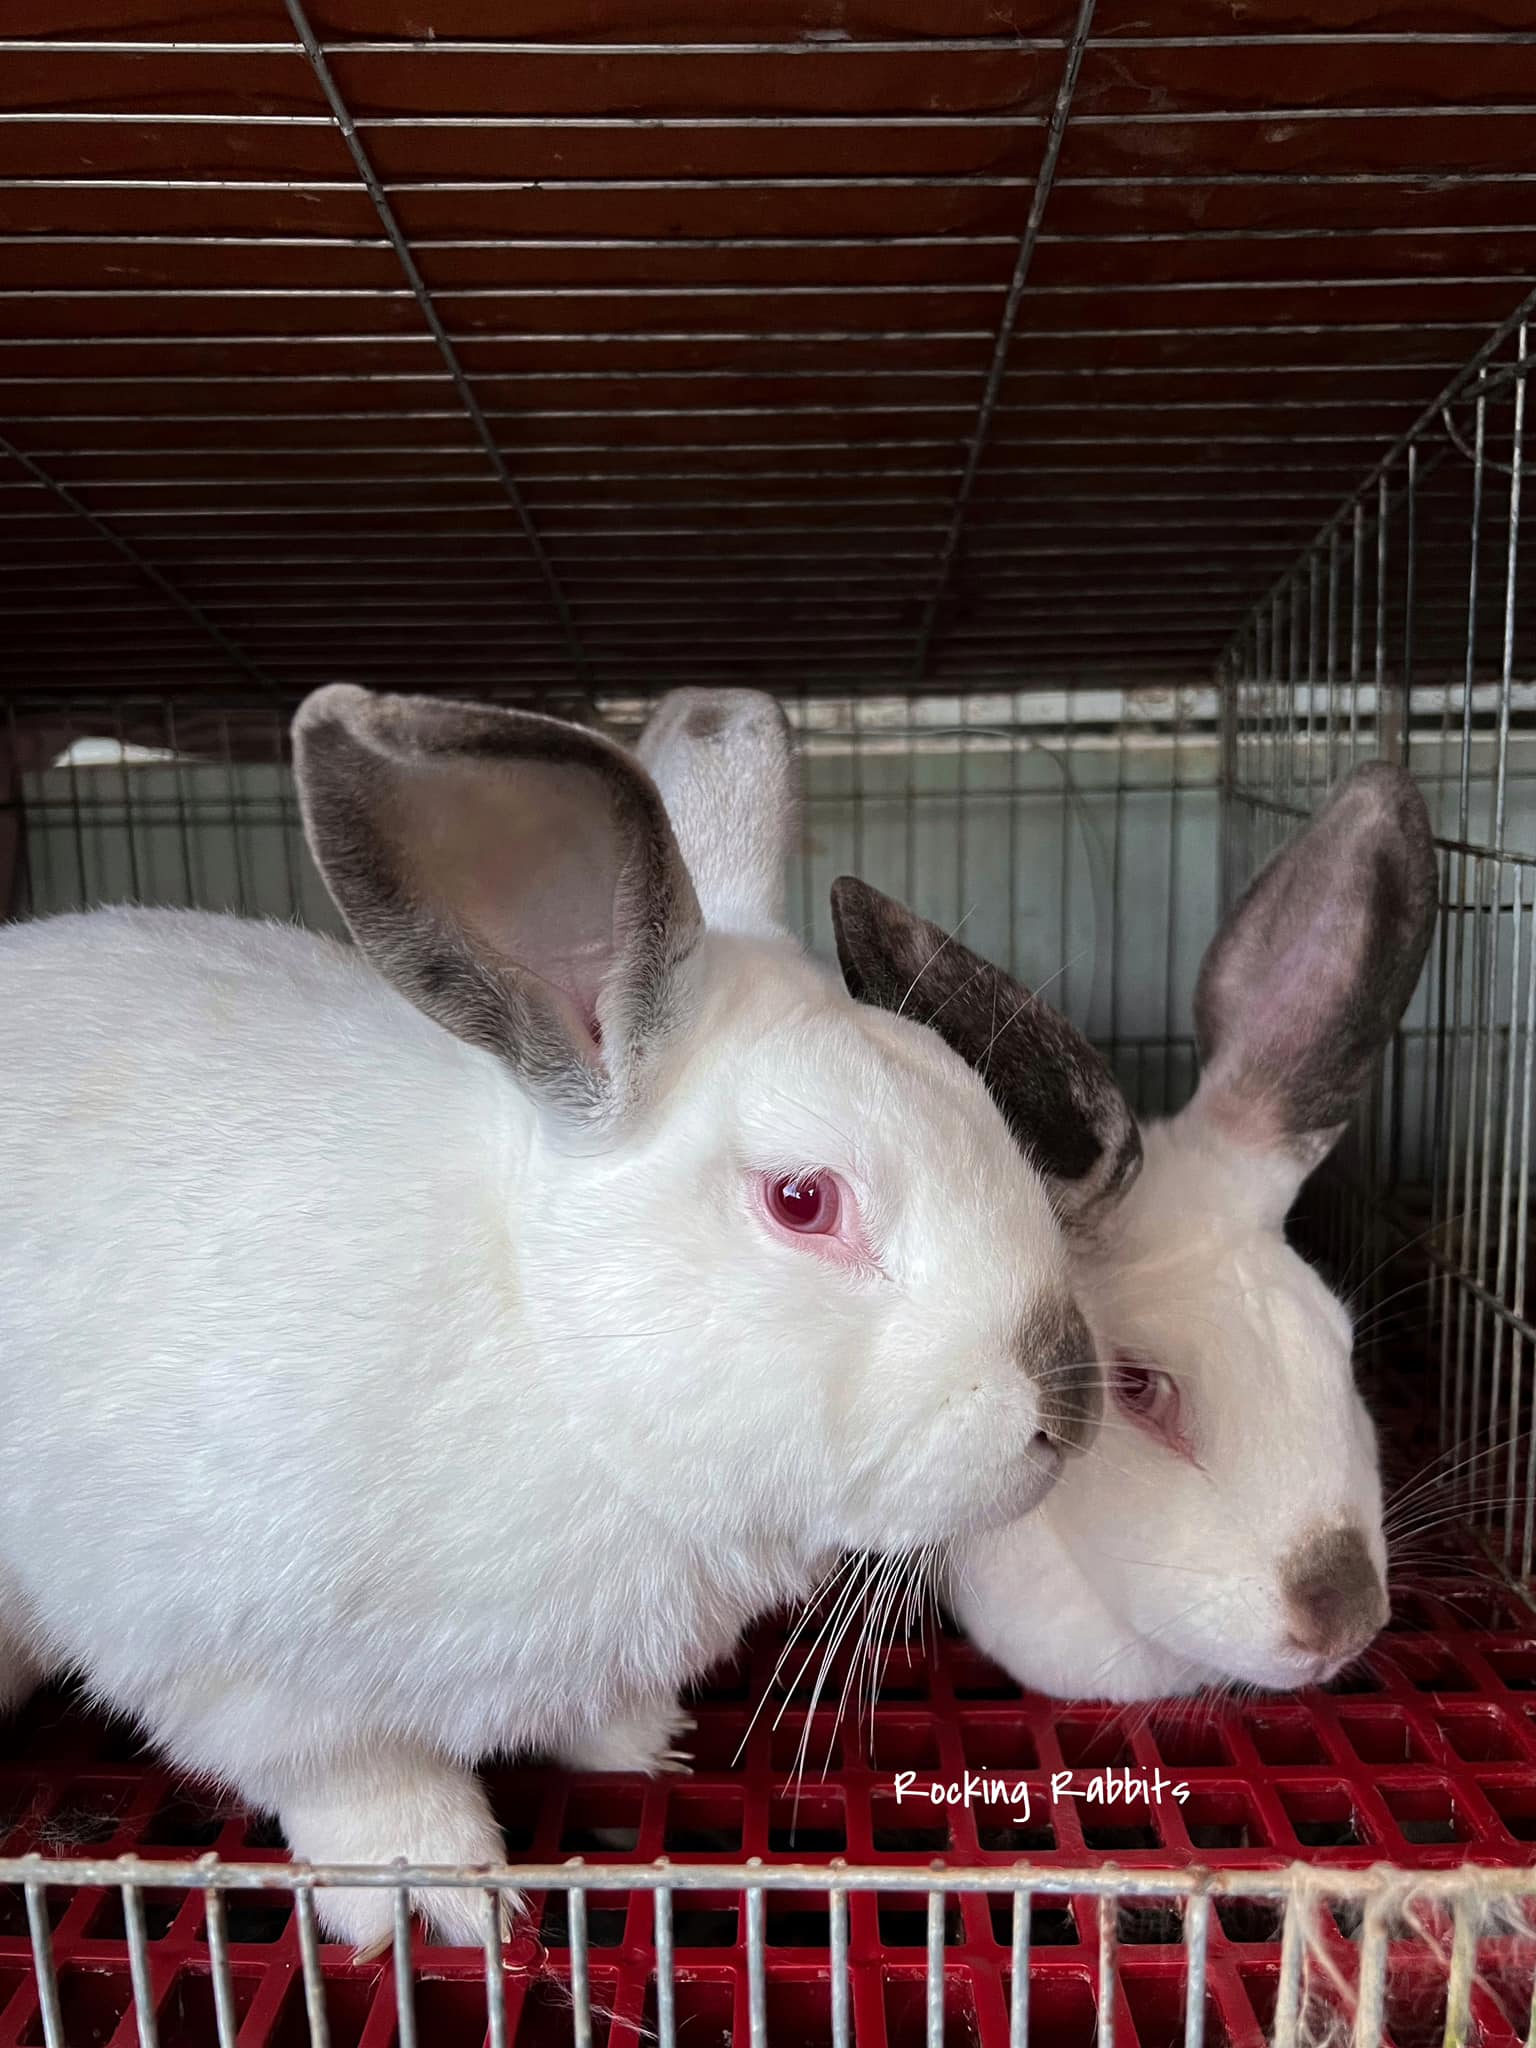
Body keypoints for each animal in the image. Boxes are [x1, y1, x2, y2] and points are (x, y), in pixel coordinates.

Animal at [0, 683, 1110, 1951]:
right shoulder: (232, 1671)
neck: (554, 1353)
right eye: (802, 1200)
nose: (1073, 1406)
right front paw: (439, 1894)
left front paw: (650, 1745)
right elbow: (357, 1782)